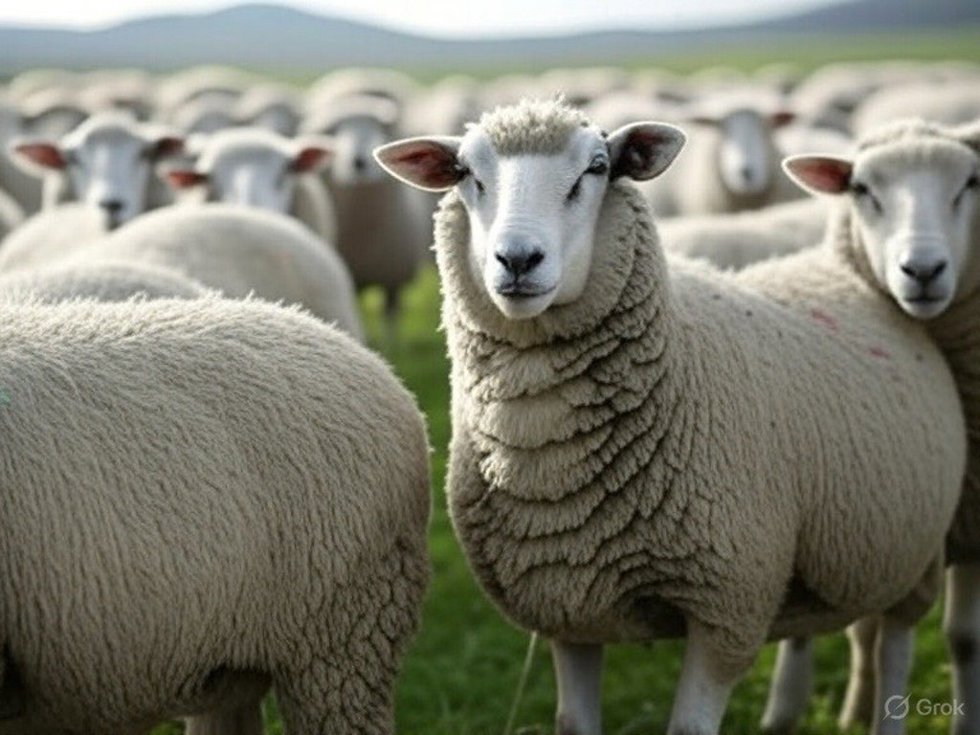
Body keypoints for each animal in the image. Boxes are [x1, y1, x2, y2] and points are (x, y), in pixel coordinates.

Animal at [302, 95, 428, 338]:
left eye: (377, 127)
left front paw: (392, 344)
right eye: (336, 131)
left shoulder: (393, 280)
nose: (359, 162)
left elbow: (390, 321)